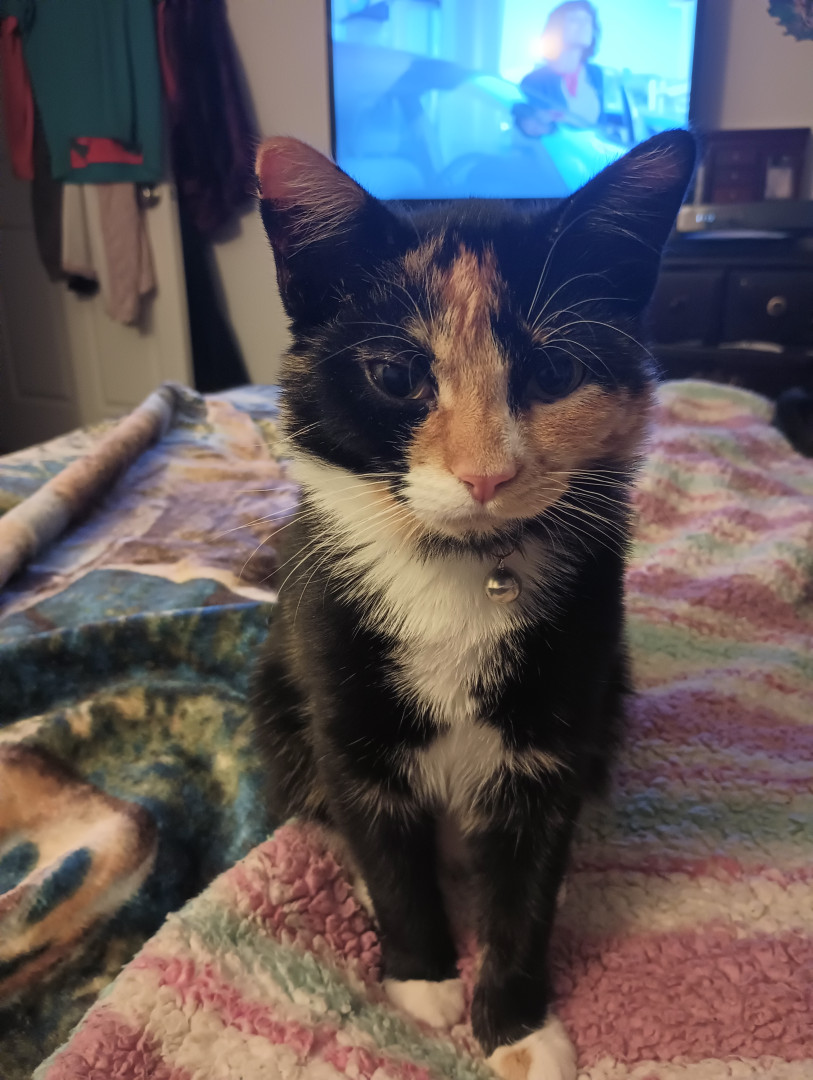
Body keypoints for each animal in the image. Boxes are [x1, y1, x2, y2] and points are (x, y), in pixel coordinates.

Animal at [252, 129, 695, 1080]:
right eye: (395, 374)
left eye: (554, 369)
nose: (484, 475)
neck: (460, 568)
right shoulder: (340, 707)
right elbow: (384, 845)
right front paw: (422, 977)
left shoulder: (557, 731)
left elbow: (527, 889)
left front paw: (515, 1024)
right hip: (276, 690)